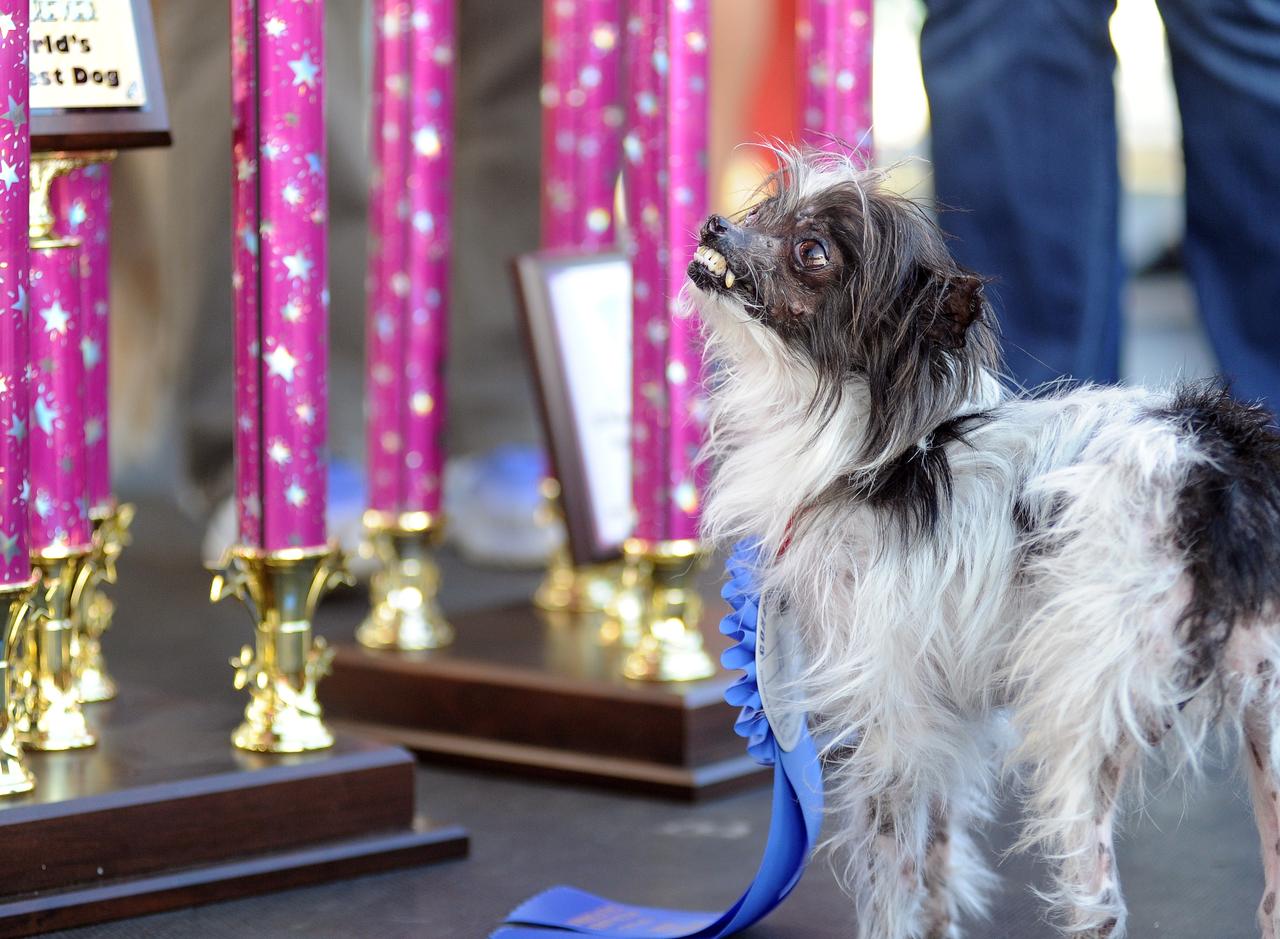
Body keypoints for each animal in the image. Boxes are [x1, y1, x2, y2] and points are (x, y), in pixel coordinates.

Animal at [691, 150, 1280, 936]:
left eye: (812, 253)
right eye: (763, 213)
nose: (714, 226)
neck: (875, 453)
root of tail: (1218, 468)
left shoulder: (891, 718)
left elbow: (895, 873)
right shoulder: (945, 714)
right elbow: (940, 856)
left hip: (1080, 732)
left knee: (1101, 903)